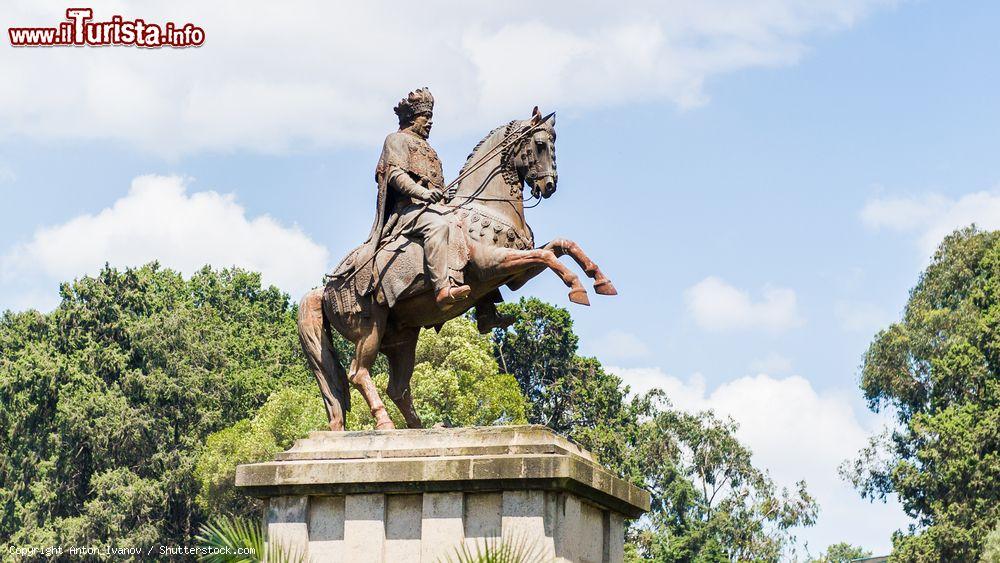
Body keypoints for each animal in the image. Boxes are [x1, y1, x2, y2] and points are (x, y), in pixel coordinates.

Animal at [294, 107, 616, 432]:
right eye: (539, 144)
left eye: (554, 143)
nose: (548, 186)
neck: (488, 208)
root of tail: (325, 290)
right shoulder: (493, 265)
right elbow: (548, 256)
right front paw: (577, 287)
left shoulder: (515, 273)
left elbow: (561, 245)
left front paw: (600, 280)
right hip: (370, 328)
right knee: (358, 373)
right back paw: (386, 423)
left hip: (402, 339)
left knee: (397, 388)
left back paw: (423, 428)